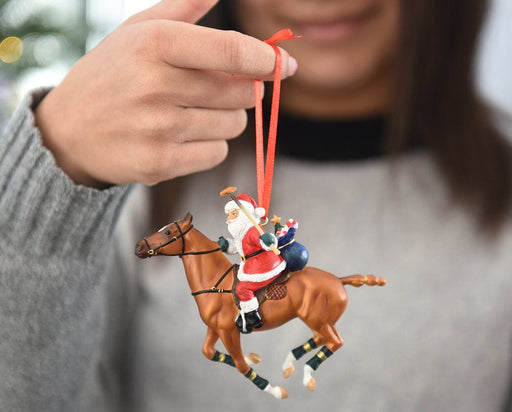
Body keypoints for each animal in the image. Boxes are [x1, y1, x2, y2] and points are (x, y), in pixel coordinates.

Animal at [134, 212, 386, 400]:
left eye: (168, 232)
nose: (138, 246)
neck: (215, 281)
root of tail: (338, 280)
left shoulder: (228, 331)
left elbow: (240, 365)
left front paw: (273, 390)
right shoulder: (215, 328)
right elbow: (209, 352)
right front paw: (252, 358)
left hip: (317, 320)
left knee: (335, 342)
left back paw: (306, 374)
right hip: (319, 320)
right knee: (322, 338)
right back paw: (289, 362)